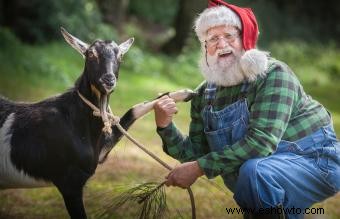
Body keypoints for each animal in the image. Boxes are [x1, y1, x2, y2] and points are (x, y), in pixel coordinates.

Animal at [0, 28, 194, 218]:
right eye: (91, 54)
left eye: (120, 56)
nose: (108, 80)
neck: (74, 120)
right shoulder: (70, 183)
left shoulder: (101, 152)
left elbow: (134, 109)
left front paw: (185, 93)